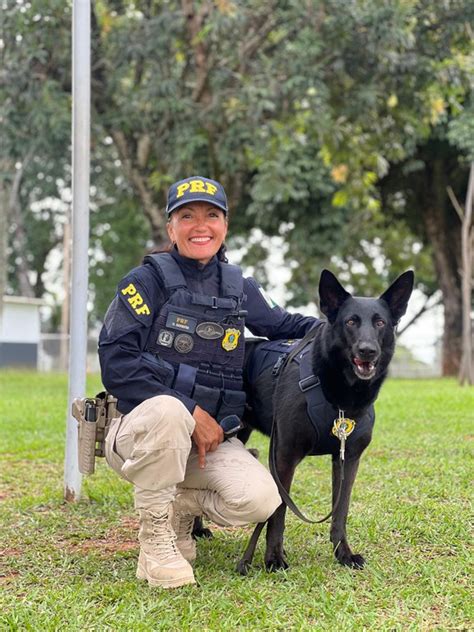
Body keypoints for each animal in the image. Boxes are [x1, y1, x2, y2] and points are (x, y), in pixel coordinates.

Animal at [235, 270, 412, 576]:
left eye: (380, 322)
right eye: (351, 321)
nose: (367, 351)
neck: (341, 398)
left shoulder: (347, 459)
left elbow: (341, 511)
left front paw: (344, 554)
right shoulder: (283, 457)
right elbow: (279, 511)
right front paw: (274, 558)